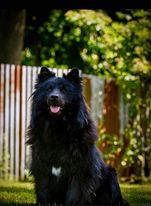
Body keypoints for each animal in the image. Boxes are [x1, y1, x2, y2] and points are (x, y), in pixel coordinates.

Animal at [27, 67, 127, 205]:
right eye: (49, 89)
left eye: (64, 90)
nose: (54, 97)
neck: (57, 126)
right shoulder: (41, 167)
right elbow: (43, 190)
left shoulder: (81, 171)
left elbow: (74, 194)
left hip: (111, 176)